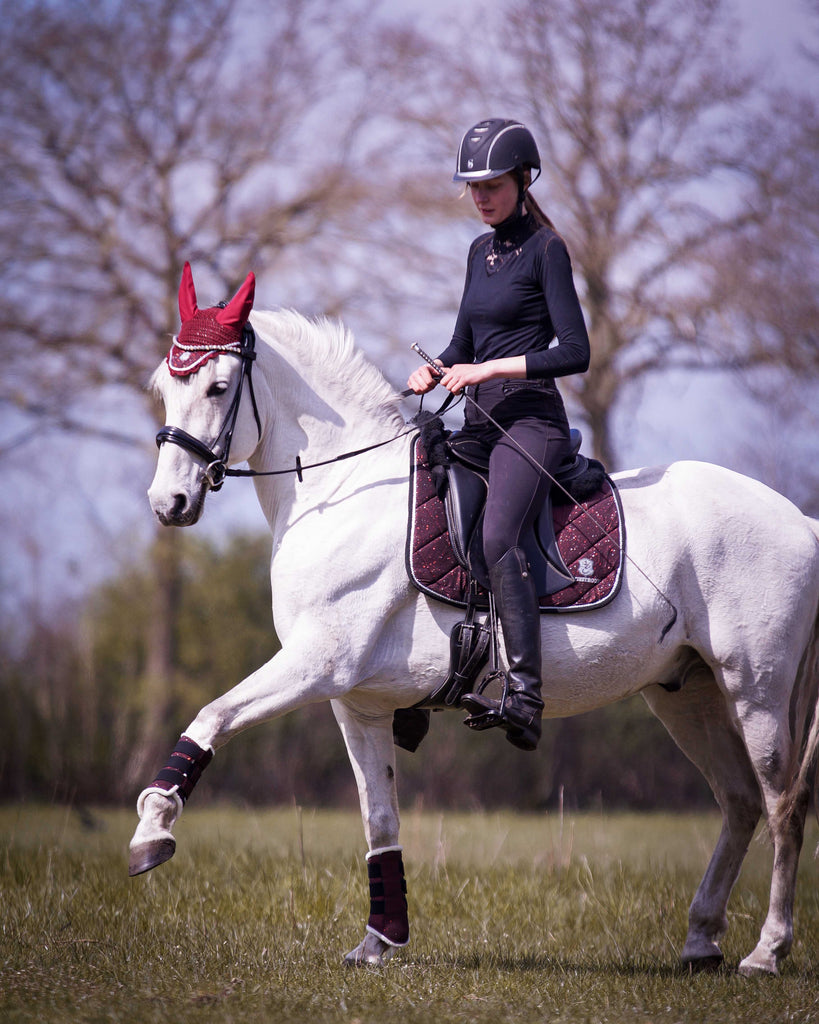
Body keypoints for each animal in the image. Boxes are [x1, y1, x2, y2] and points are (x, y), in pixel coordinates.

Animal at [127, 266, 818, 974]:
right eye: (164, 386)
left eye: (217, 386)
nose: (168, 502)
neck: (341, 492)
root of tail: (801, 520)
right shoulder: (357, 701)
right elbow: (380, 820)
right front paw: (380, 940)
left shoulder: (316, 665)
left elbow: (211, 716)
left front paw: (152, 830)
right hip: (688, 693)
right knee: (740, 802)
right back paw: (701, 939)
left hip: (756, 692)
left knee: (783, 806)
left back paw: (767, 951)